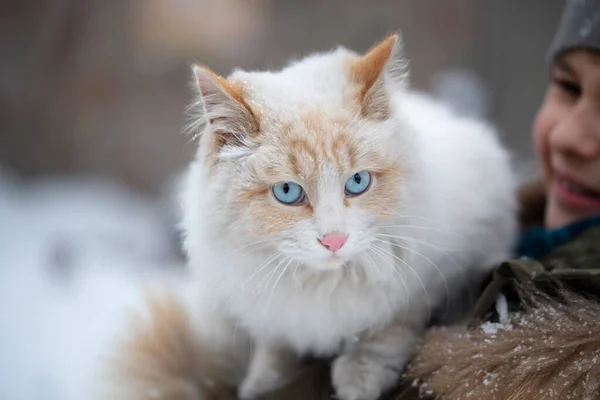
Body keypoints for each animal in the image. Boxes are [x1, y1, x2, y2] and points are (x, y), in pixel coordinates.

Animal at [179, 34, 516, 400]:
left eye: (357, 182)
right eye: (287, 191)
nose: (334, 240)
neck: (325, 282)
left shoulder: (428, 278)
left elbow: (389, 328)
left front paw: (359, 376)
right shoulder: (270, 304)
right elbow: (276, 346)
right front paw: (262, 383)